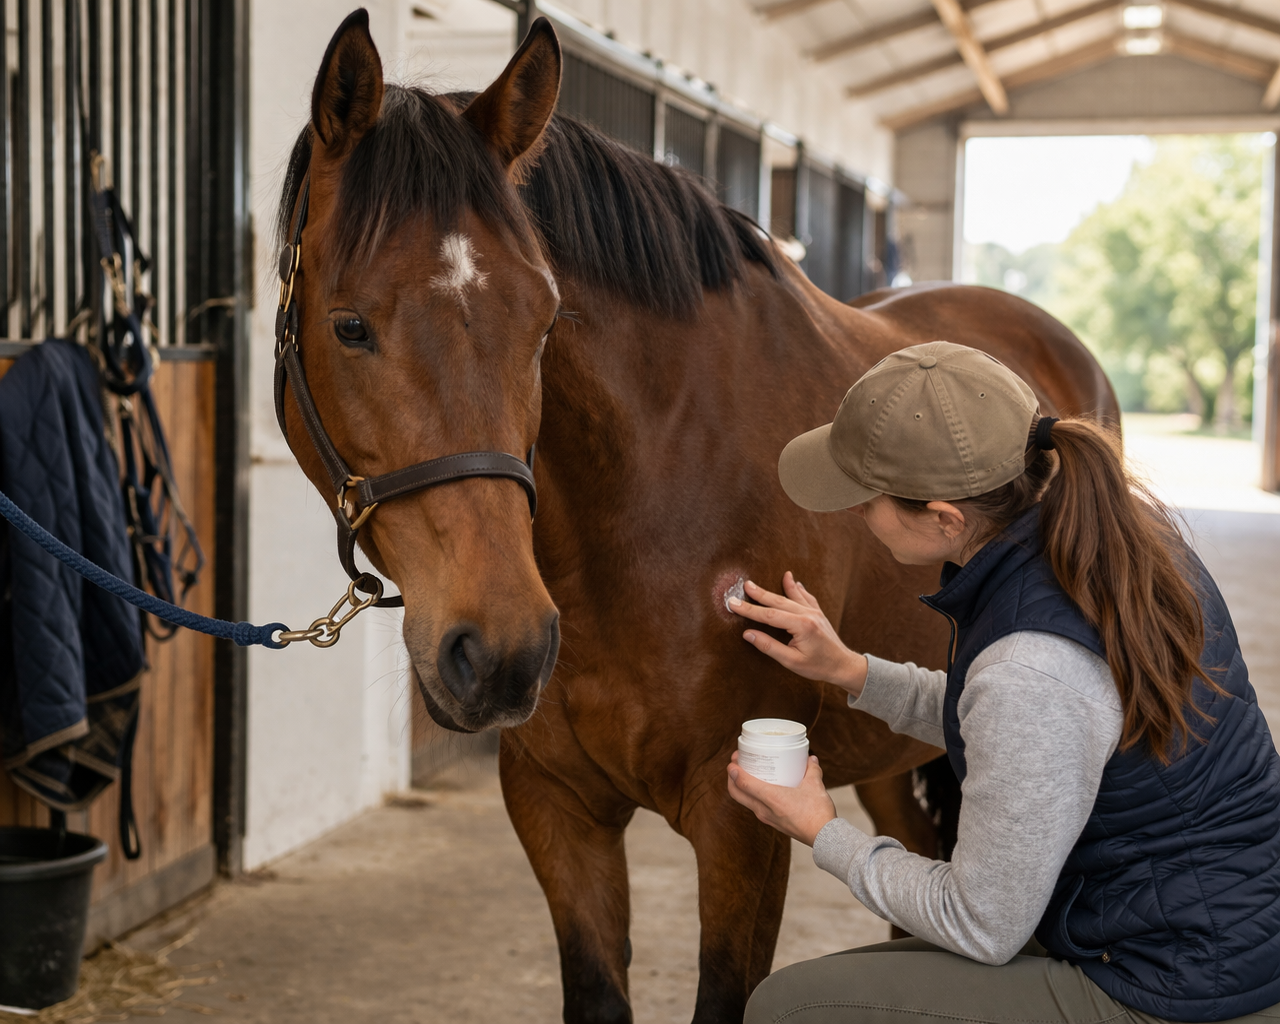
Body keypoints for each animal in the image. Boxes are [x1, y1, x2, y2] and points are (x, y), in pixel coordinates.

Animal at [278, 13, 1119, 1024]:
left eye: (545, 322)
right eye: (348, 326)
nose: (503, 651)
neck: (640, 502)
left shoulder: (740, 824)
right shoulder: (556, 806)